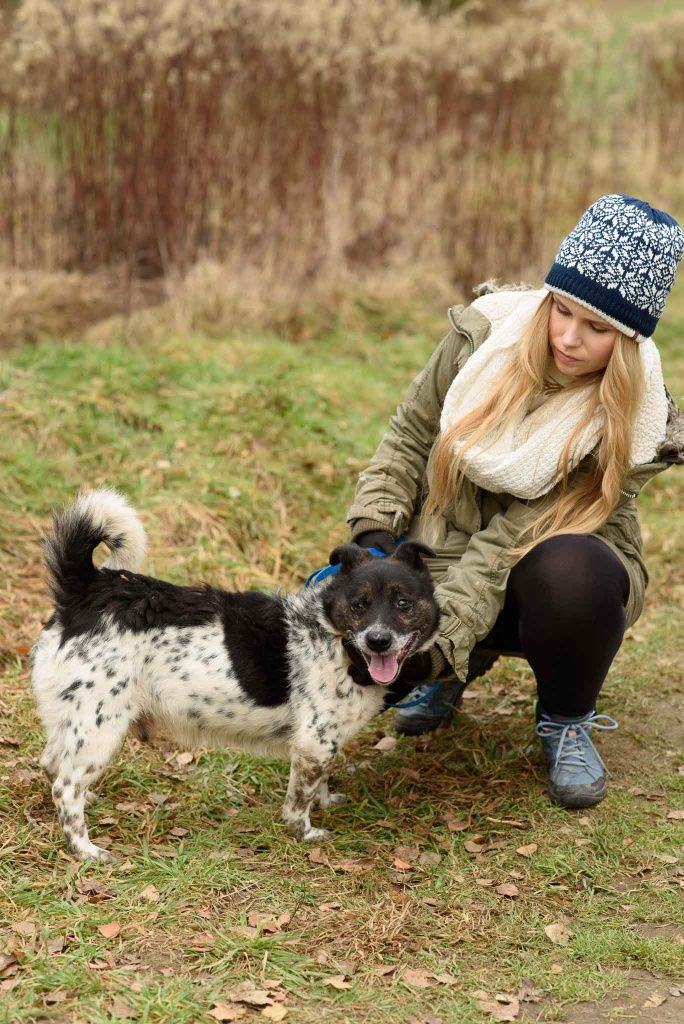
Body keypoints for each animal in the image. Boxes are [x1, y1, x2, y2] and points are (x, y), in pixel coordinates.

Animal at [31, 491, 438, 860]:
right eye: (359, 605)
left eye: (403, 604)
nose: (378, 640)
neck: (334, 638)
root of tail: (86, 592)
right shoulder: (313, 743)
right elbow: (299, 799)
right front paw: (304, 832)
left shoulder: (322, 744)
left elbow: (318, 783)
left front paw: (323, 801)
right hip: (100, 727)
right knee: (65, 786)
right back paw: (85, 849)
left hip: (74, 722)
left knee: (52, 764)